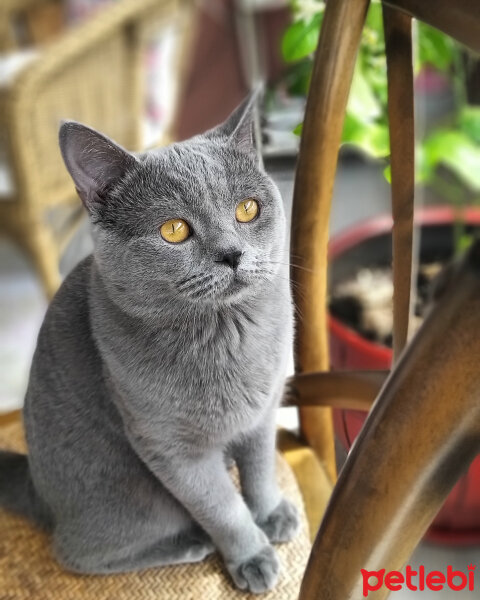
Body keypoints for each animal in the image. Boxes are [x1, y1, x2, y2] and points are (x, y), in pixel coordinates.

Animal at [0, 95, 298, 596]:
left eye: (247, 209)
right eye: (174, 230)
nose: (233, 254)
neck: (229, 335)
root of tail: (36, 490)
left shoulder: (264, 411)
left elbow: (259, 469)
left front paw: (271, 512)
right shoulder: (170, 447)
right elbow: (222, 507)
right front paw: (252, 556)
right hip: (135, 498)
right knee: (76, 553)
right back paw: (190, 543)